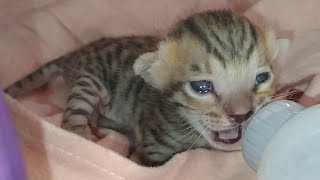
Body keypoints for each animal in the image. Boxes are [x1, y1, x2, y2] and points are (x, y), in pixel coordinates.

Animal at [5, 9, 288, 166]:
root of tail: (74, 54)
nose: (243, 115)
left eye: (261, 78)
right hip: (87, 83)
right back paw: (87, 137)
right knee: (71, 122)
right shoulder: (155, 150)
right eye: (202, 87)